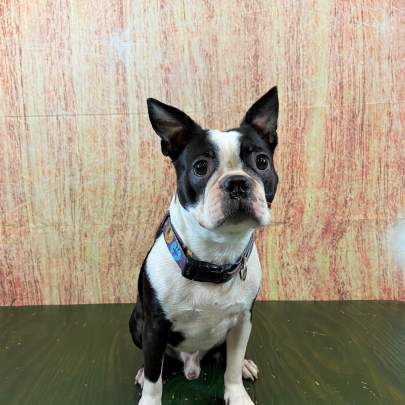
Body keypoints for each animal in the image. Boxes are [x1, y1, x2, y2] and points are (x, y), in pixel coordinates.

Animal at [129, 86, 278, 404]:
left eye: (262, 162)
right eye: (200, 167)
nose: (238, 183)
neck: (214, 256)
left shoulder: (243, 321)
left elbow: (231, 366)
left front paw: (237, 394)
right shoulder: (155, 327)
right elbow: (154, 378)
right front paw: (149, 397)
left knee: (225, 357)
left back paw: (244, 365)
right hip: (136, 322)